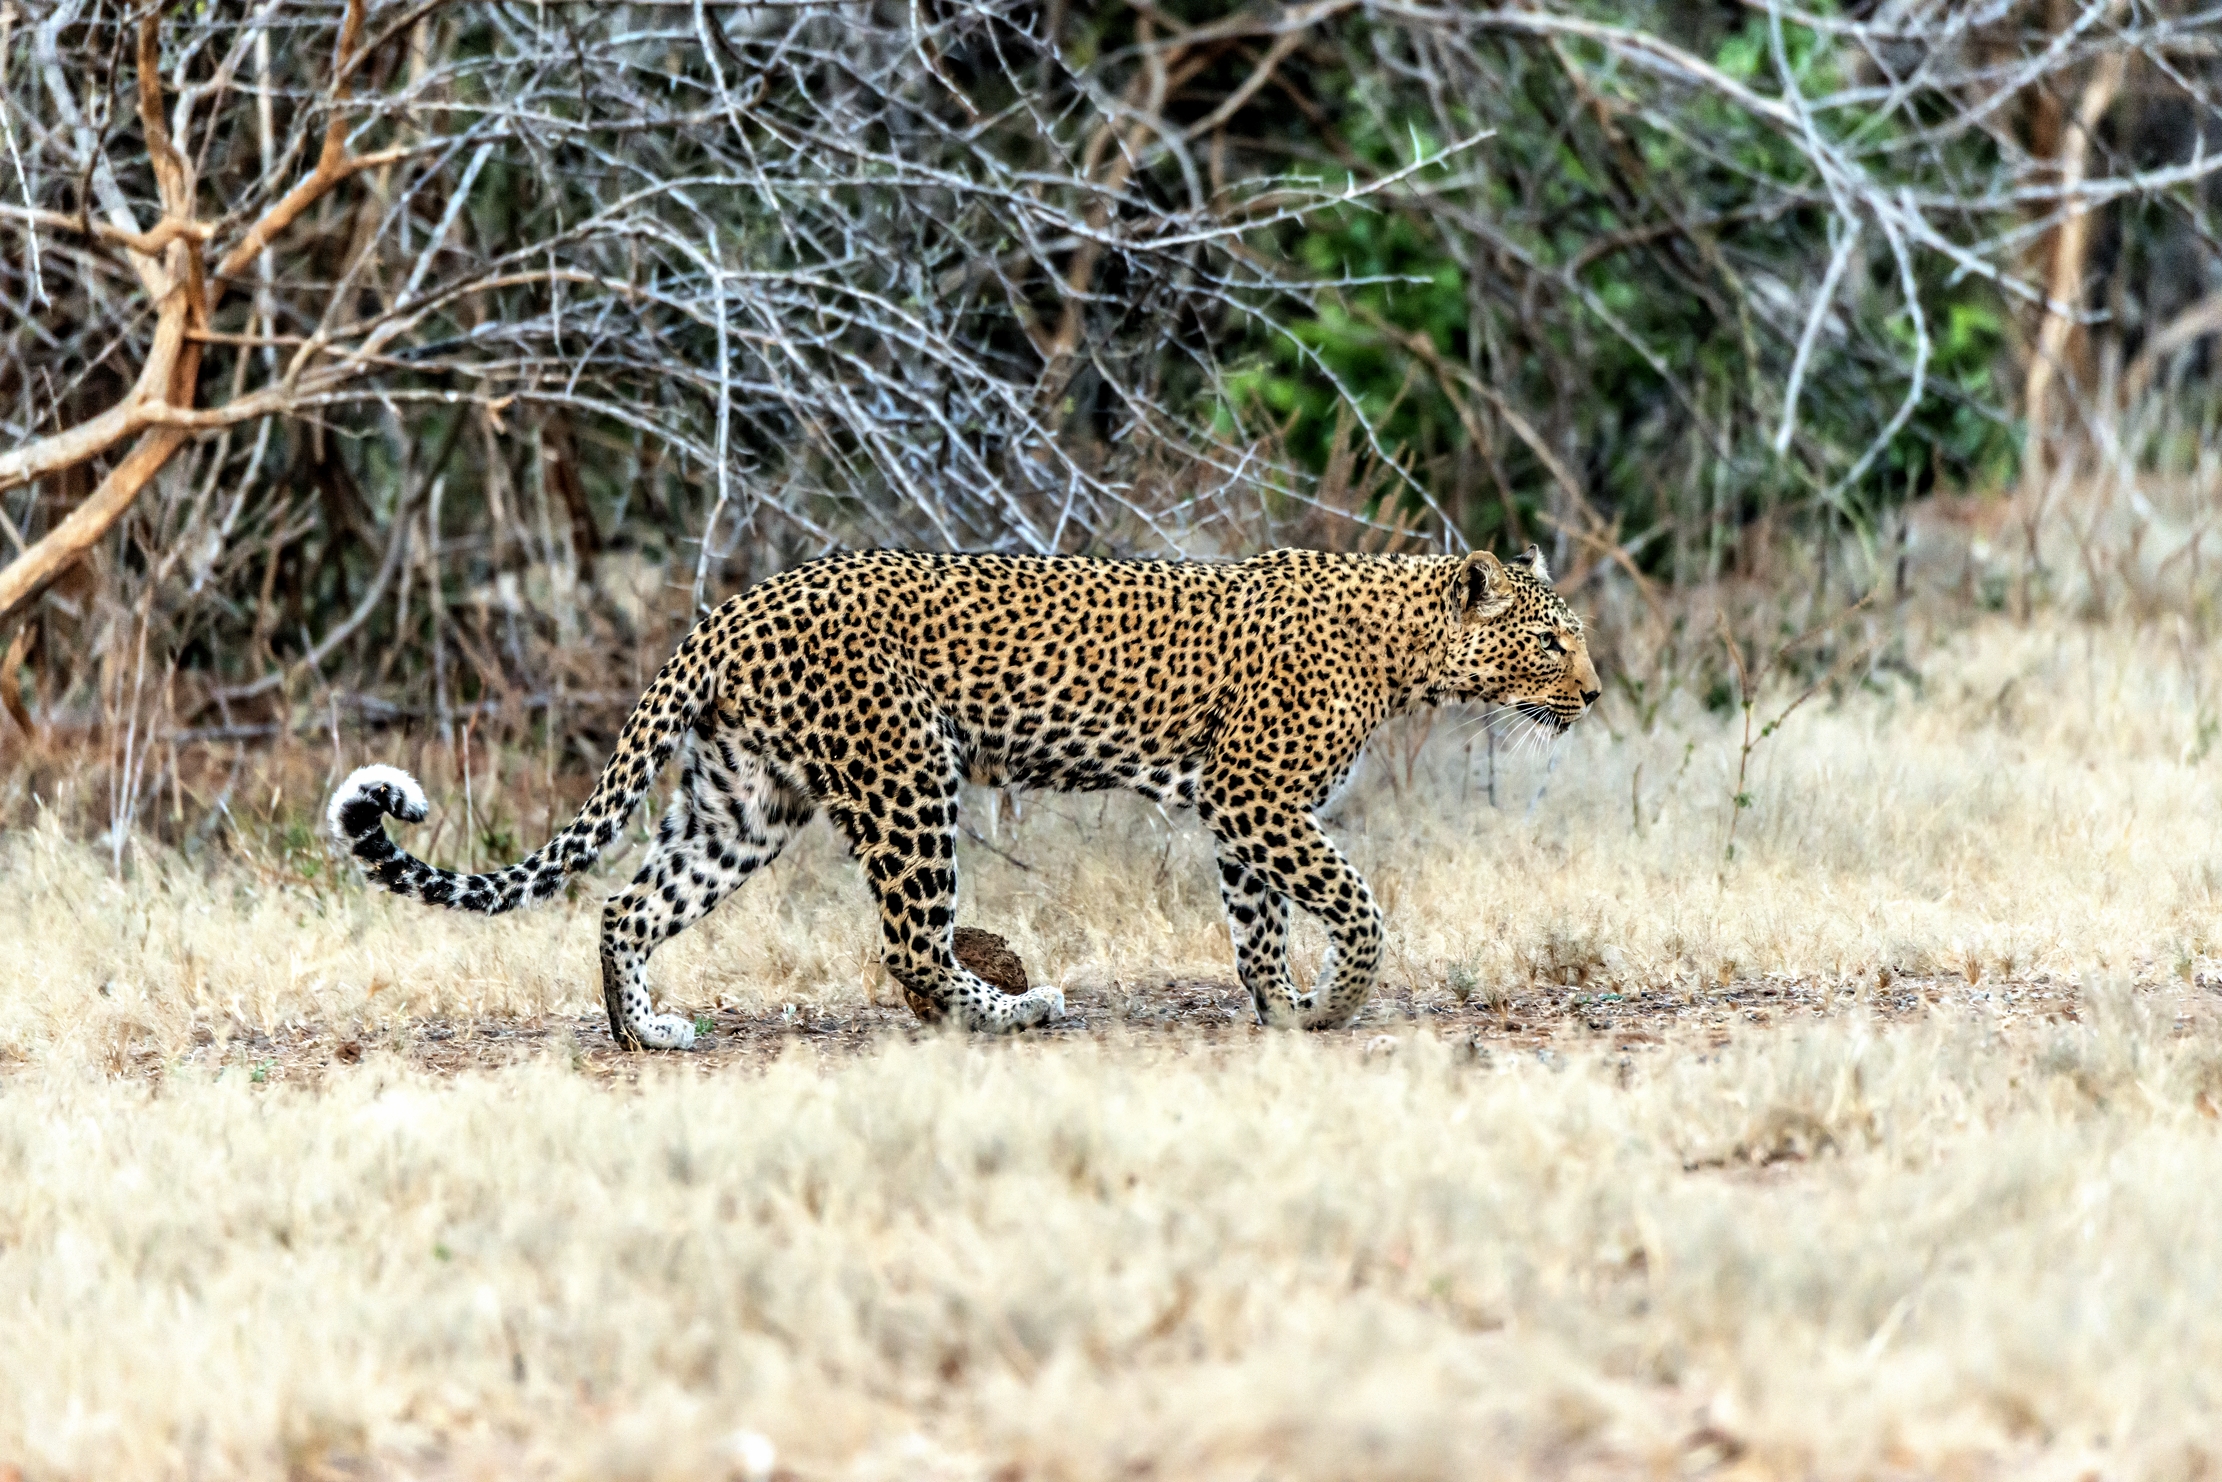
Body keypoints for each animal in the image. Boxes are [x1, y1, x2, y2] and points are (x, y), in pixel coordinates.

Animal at [329, 545, 1600, 1048]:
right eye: (1549, 641)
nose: (1591, 693)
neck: (1404, 646)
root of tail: (729, 610)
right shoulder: (1255, 797)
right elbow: (1355, 904)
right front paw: (1335, 1001)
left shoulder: (1242, 813)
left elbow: (1256, 924)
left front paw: (1282, 1009)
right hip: (906, 773)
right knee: (910, 944)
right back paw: (1016, 1011)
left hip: (746, 800)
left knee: (626, 905)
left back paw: (645, 1033)